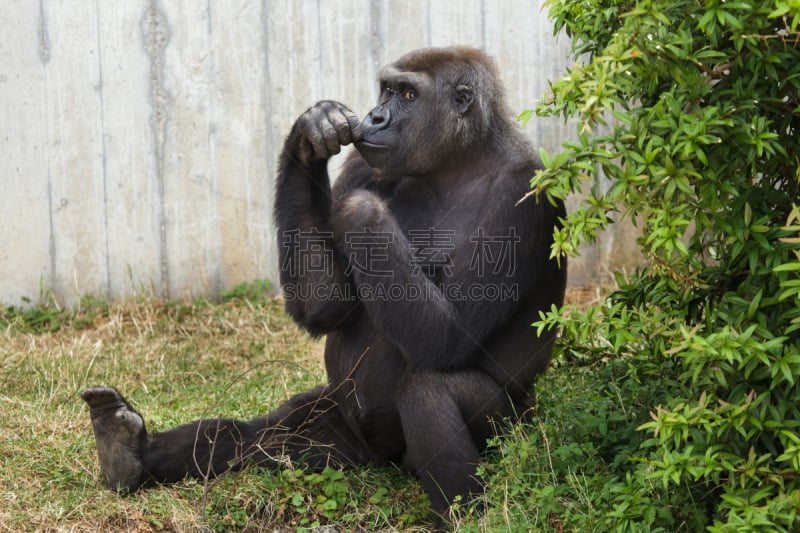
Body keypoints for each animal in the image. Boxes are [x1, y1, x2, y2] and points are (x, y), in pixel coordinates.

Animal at [81, 45, 564, 524]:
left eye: (408, 95)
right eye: (386, 90)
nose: (375, 117)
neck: (457, 162)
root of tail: (378, 459)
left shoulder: (522, 195)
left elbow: (449, 338)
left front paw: (361, 210)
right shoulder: (363, 160)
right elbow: (328, 305)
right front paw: (309, 135)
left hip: (510, 432)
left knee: (428, 391)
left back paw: (465, 517)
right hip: (338, 433)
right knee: (257, 438)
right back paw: (128, 453)